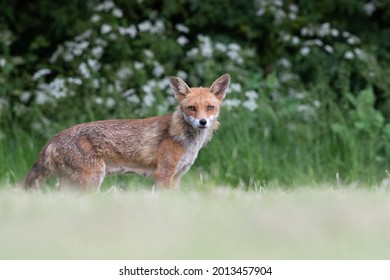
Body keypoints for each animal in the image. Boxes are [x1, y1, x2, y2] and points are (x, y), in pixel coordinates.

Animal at [23, 73, 232, 191]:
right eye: (191, 108)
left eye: (210, 107)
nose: (202, 122)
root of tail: (53, 138)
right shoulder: (163, 174)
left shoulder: (177, 177)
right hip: (92, 179)